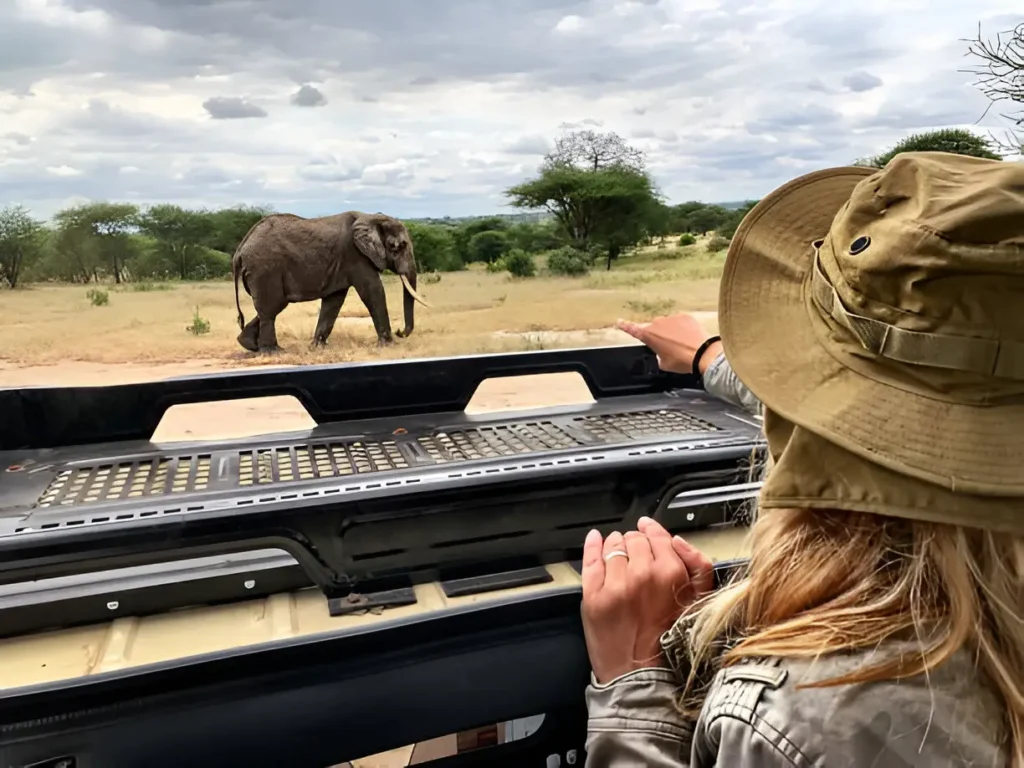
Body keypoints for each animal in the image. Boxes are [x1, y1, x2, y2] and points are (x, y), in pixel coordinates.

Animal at [231, 210, 428, 354]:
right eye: (399, 247)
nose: (400, 331)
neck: (370, 217)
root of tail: (240, 250)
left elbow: (334, 300)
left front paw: (317, 347)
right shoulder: (355, 256)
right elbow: (373, 290)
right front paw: (388, 346)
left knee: (270, 307)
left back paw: (248, 345)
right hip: (265, 269)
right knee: (271, 308)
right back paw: (273, 351)